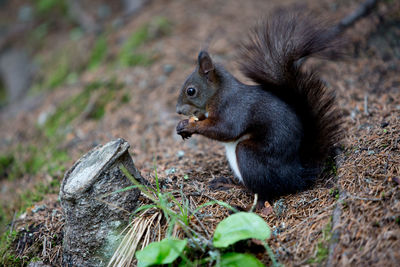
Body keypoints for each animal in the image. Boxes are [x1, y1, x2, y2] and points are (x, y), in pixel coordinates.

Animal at [177, 12, 342, 204]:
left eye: (191, 91)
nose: (178, 110)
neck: (218, 93)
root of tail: (297, 176)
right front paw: (182, 126)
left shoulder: (234, 108)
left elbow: (226, 129)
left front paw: (191, 126)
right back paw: (227, 183)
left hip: (249, 155)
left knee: (262, 194)